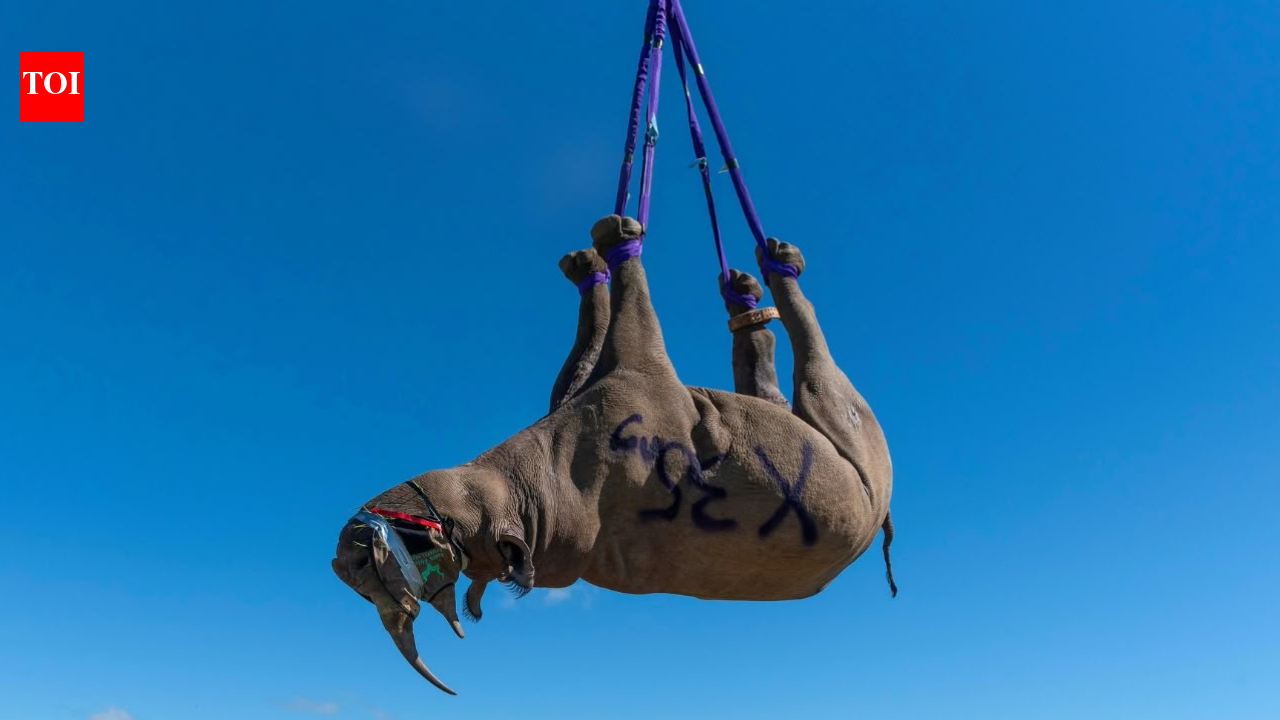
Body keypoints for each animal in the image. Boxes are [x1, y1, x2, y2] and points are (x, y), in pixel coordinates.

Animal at [330, 214, 895, 694]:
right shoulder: (641, 373)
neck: (539, 484)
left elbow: (598, 335)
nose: (347, 561)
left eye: (418, 542)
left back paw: (748, 288)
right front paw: (615, 245)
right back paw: (775, 271)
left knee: (770, 364)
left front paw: (593, 263)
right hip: (848, 432)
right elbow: (633, 316)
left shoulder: (604, 385)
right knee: (812, 358)